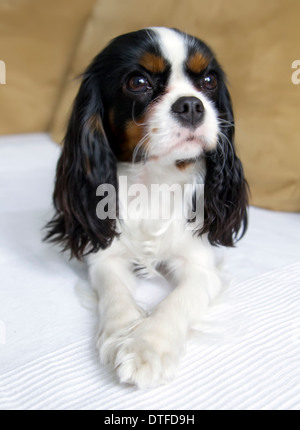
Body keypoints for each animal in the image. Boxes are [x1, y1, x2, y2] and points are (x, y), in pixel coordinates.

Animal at [45, 27, 247, 390]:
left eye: (209, 81)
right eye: (138, 82)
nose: (191, 104)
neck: (155, 179)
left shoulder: (200, 267)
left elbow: (176, 301)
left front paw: (147, 347)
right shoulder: (105, 258)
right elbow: (115, 293)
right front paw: (123, 332)